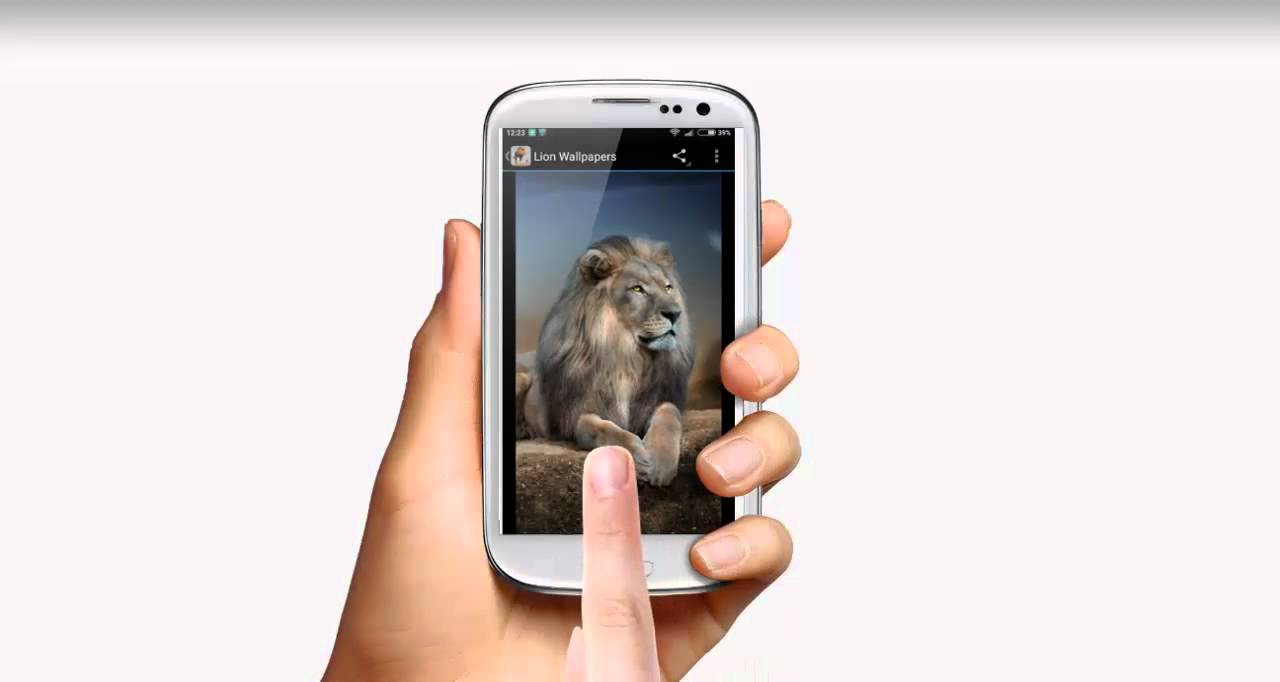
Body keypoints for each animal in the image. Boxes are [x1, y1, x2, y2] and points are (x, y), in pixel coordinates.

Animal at [516, 235, 695, 487]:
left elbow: (669, 414)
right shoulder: (574, 416)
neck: (627, 355)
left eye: (668, 287)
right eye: (637, 289)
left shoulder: (661, 398)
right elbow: (599, 428)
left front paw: (660, 462)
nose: (675, 314)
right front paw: (636, 454)